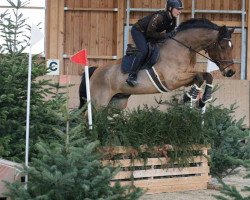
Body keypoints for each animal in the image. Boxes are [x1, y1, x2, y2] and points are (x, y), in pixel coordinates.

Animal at [79, 18, 235, 109]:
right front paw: (190, 97)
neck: (183, 47)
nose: (231, 72)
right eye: (222, 46)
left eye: (232, 46)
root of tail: (95, 71)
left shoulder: (186, 76)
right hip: (99, 103)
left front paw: (202, 99)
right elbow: (201, 76)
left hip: (117, 102)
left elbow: (205, 76)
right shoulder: (173, 80)